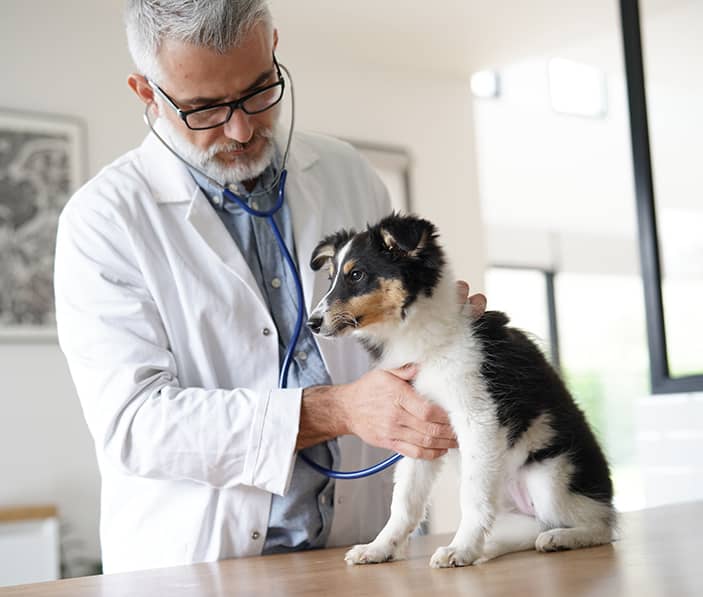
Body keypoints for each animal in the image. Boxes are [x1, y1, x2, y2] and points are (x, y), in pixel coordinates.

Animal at [308, 212, 616, 564]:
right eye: (330, 278)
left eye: (357, 274)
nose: (311, 323)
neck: (425, 338)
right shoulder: (415, 427)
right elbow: (405, 500)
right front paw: (379, 548)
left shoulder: (478, 416)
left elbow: (471, 494)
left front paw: (461, 549)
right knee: (529, 527)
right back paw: (494, 547)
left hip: (551, 477)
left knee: (600, 526)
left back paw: (561, 537)